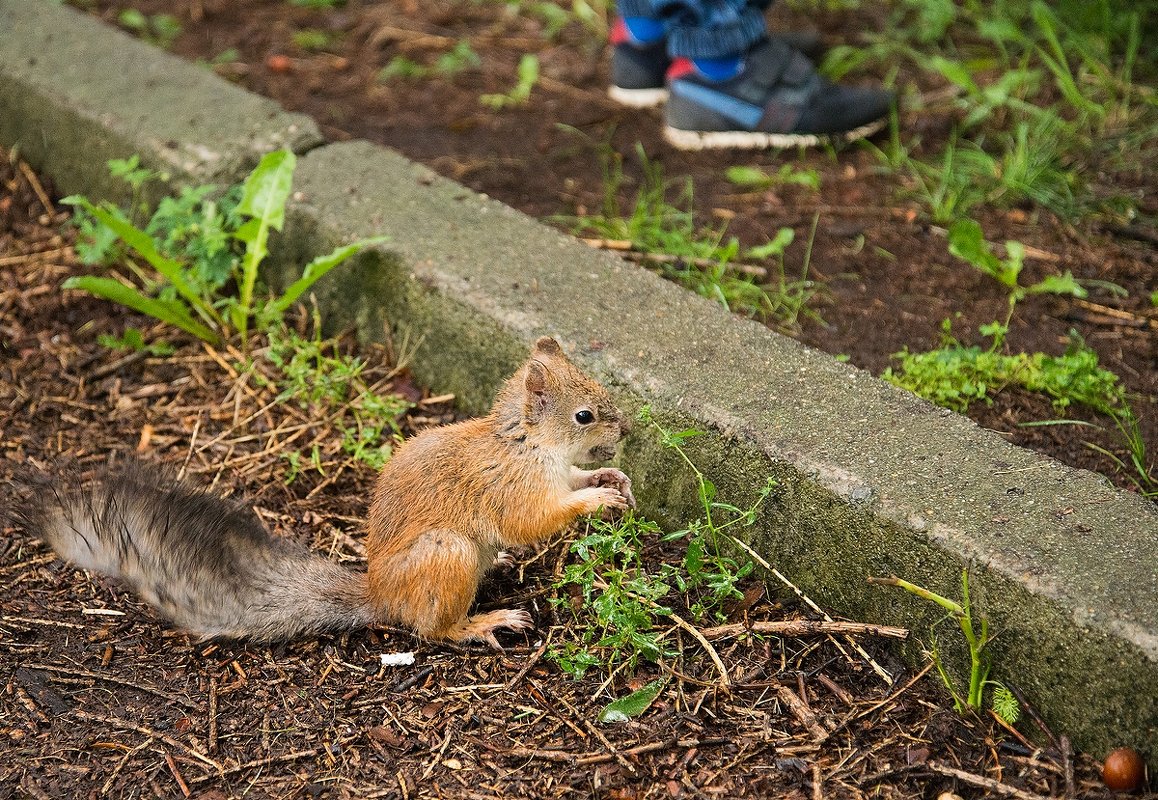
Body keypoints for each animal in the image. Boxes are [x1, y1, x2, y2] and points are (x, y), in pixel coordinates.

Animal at [18, 335, 634, 648]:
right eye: (584, 415)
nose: (626, 431)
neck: (527, 444)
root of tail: (381, 593)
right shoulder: (512, 488)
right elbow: (534, 521)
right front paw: (597, 500)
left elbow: (573, 484)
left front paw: (611, 482)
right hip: (447, 557)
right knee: (434, 630)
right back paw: (484, 623)